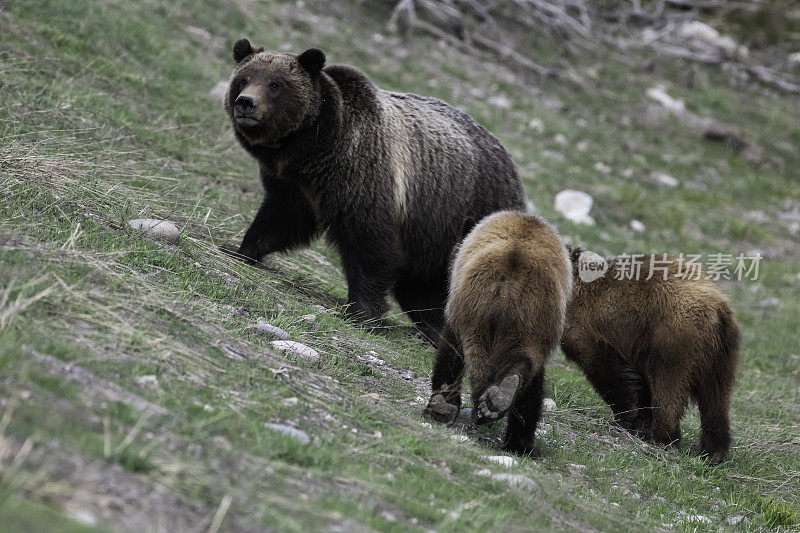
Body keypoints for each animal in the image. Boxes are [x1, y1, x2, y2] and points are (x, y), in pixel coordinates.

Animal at [222, 38, 528, 340]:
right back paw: (433, 325)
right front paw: (238, 249)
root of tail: (508, 160)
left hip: (469, 207)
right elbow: (277, 220)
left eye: (275, 84)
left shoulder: (364, 176)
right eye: (243, 78)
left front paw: (361, 312)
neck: (313, 149)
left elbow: (369, 246)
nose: (245, 102)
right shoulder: (295, 187)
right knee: (421, 287)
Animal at [422, 210, 572, 456]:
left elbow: (449, 350)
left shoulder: (455, 308)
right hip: (532, 316)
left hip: (479, 307)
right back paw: (500, 400)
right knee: (525, 366)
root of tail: (513, 269)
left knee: (475, 358)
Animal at [564, 249, 736, 462]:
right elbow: (635, 379)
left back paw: (662, 436)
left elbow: (605, 369)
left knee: (669, 385)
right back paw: (713, 452)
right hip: (719, 356)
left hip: (674, 335)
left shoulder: (582, 326)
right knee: (716, 398)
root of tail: (718, 306)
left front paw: (624, 419)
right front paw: (639, 420)